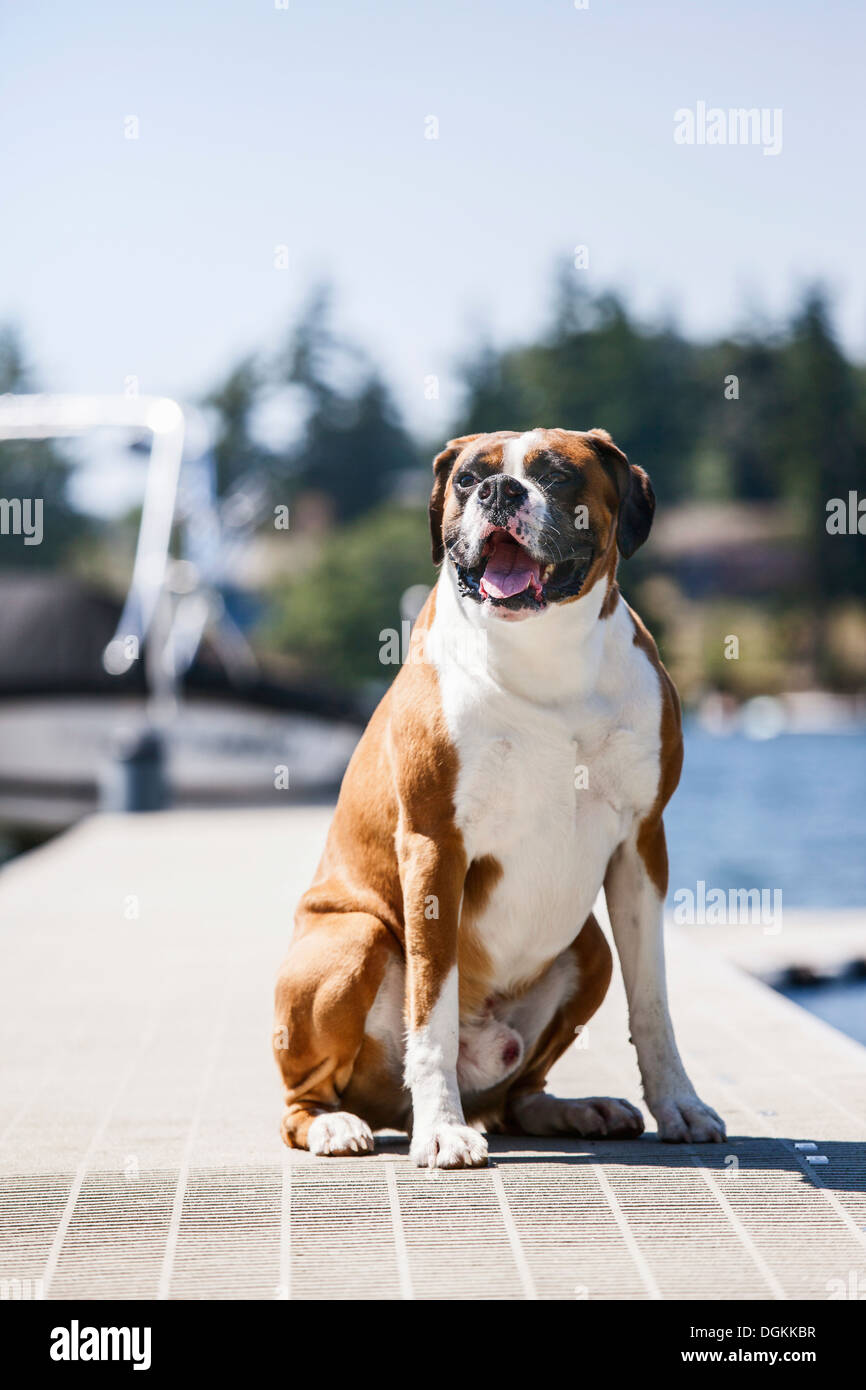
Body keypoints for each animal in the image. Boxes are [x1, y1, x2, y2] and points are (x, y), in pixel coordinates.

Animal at [272, 428, 722, 1167]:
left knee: (517, 1095)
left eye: (558, 475)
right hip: (354, 937)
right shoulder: (434, 848)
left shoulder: (641, 844)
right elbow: (431, 1005)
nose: (499, 490)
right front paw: (442, 1130)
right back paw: (336, 1124)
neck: (544, 651)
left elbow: (653, 1001)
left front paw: (679, 1105)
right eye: (465, 479)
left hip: (590, 950)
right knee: (302, 1098)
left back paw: (571, 1109)